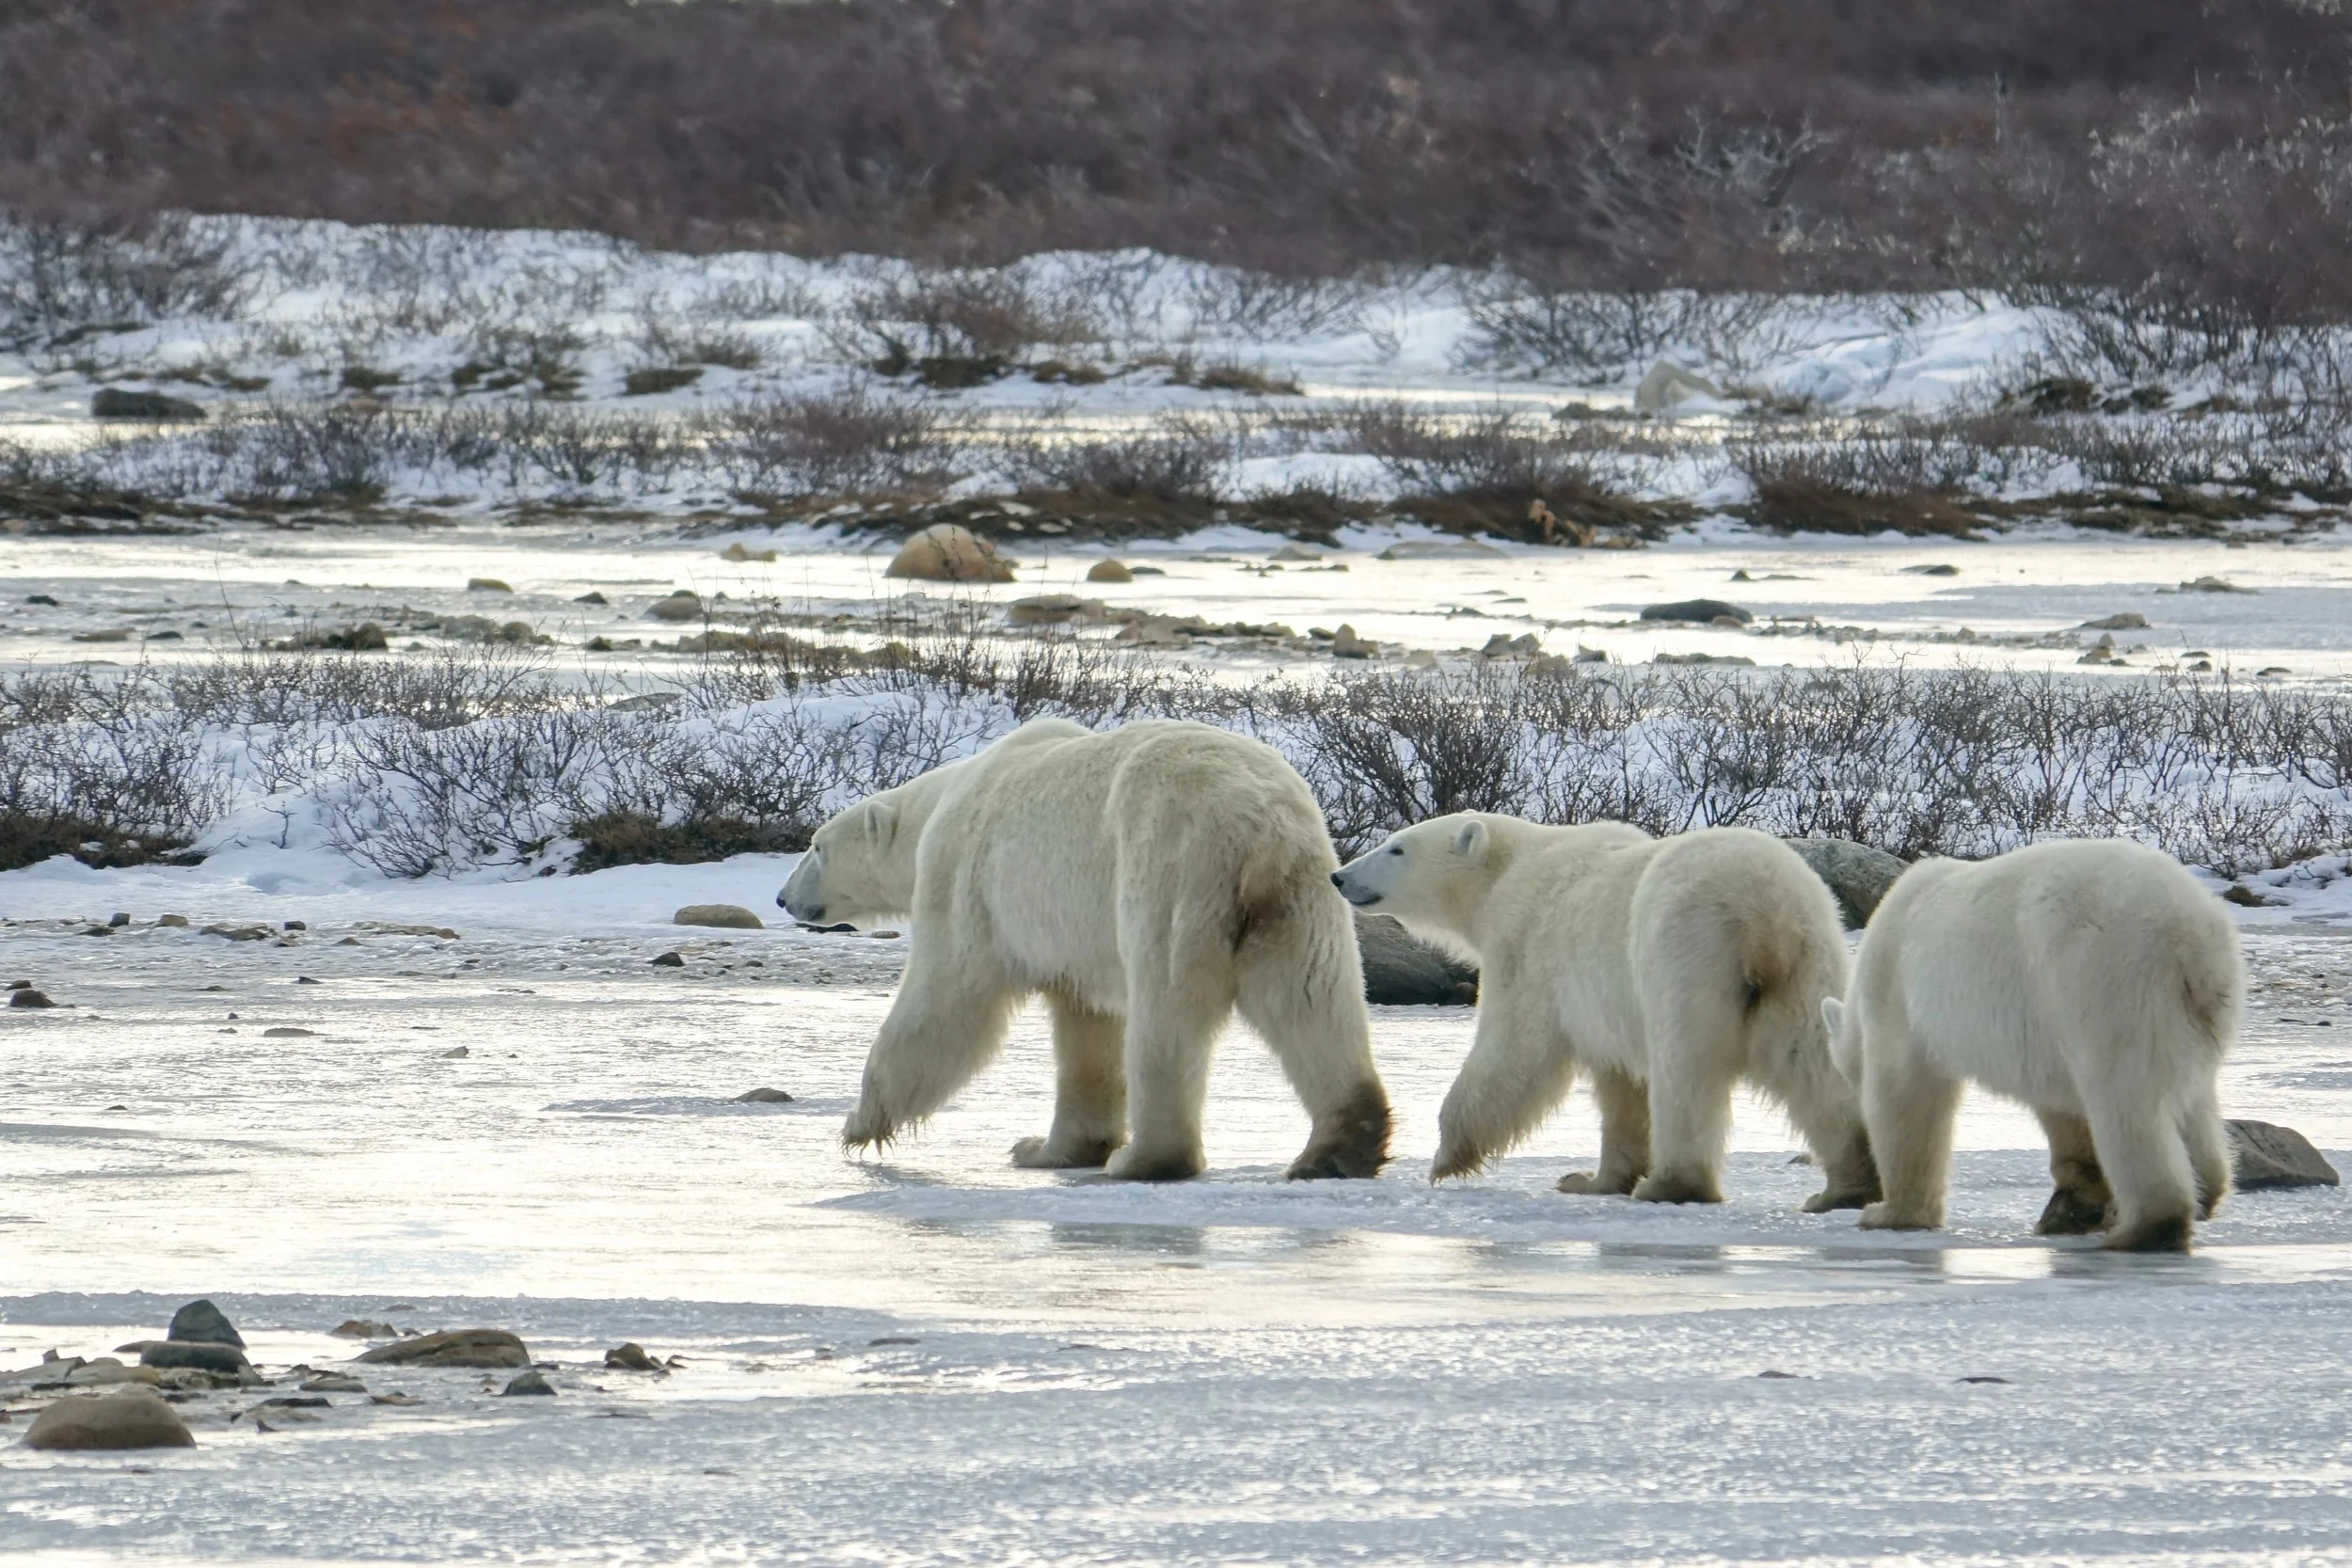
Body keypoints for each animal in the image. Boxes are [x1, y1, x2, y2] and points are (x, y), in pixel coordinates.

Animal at [778, 717, 1392, 1181]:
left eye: (815, 845)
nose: (783, 897)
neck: (941, 802)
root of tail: (1259, 823)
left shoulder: (966, 883)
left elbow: (944, 1003)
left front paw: (858, 1125)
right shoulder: (1073, 941)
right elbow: (1086, 1029)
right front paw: (1050, 1149)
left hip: (1167, 870)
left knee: (1165, 1015)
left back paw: (1145, 1159)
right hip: (1298, 896)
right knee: (1311, 999)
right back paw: (1339, 1147)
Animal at [1331, 814, 1877, 1209]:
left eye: (1397, 847)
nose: (1339, 875)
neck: (1509, 868)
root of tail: (1764, 914)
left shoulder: (1527, 946)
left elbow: (1514, 1051)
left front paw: (1444, 1159)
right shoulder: (1603, 1009)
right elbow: (1620, 1088)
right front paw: (1591, 1179)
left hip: (1685, 953)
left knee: (1686, 1073)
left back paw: (1672, 1184)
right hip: (1808, 960)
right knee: (1815, 1060)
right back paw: (1845, 1185)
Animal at [1821, 838, 2243, 1252]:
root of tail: (2192, 935)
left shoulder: (1897, 996)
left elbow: (1905, 1098)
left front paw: (1888, 1213)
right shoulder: (2045, 1033)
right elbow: (2065, 1111)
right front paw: (2072, 1209)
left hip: (2107, 980)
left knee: (2126, 1100)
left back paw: (2146, 1228)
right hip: (2194, 1014)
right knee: (2192, 1101)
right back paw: (2205, 1191)